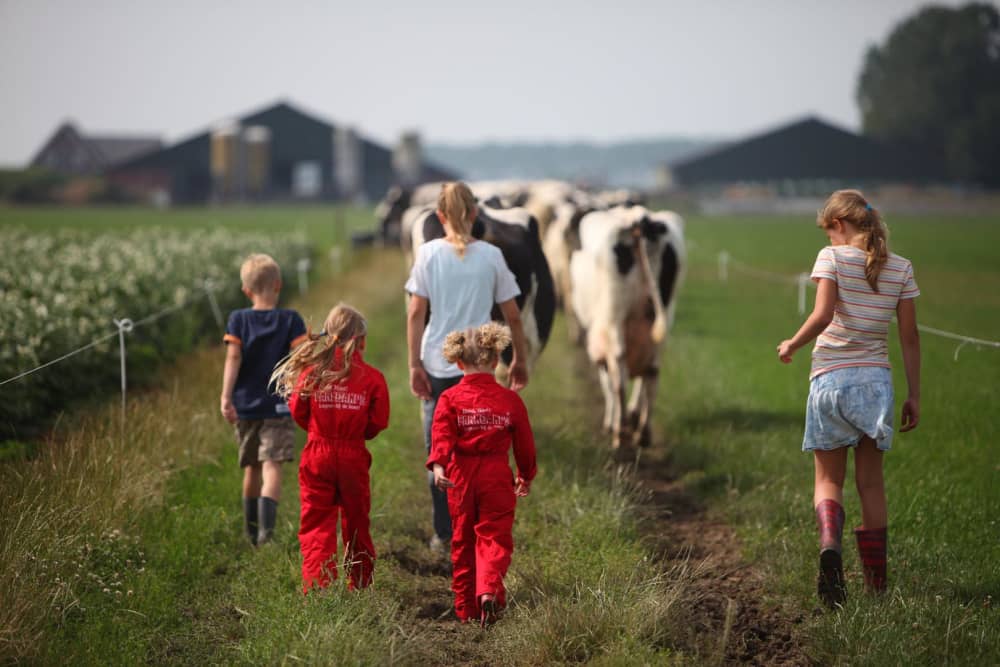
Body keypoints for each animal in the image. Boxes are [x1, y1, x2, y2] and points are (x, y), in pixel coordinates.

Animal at [572, 206, 688, 452]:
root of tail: (639, 219)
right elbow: (640, 384)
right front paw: (634, 416)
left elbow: (607, 383)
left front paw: (611, 422)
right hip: (662, 318)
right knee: (652, 372)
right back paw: (642, 433)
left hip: (614, 318)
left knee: (620, 376)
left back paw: (621, 431)